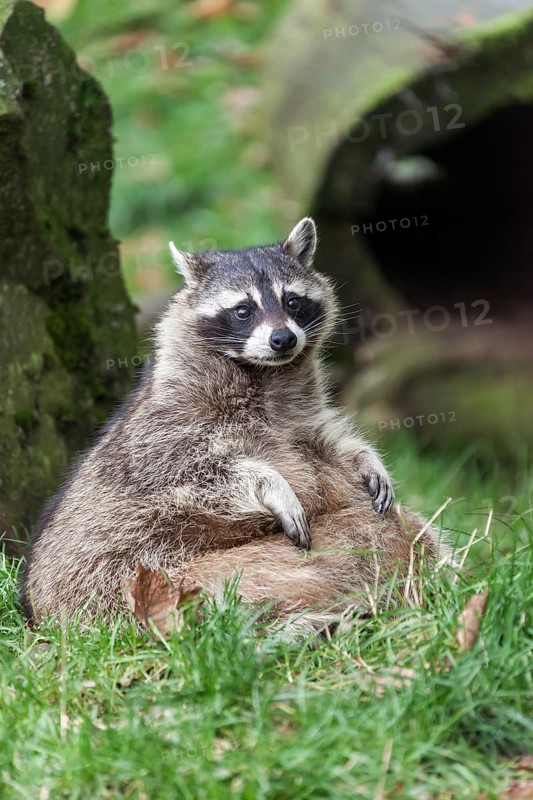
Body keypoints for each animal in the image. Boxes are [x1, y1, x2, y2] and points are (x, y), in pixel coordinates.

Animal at [21, 218, 446, 630]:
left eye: (292, 301)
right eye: (244, 310)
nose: (283, 339)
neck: (263, 374)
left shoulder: (299, 417)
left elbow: (328, 442)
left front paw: (366, 458)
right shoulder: (164, 430)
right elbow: (197, 473)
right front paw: (268, 482)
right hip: (138, 581)